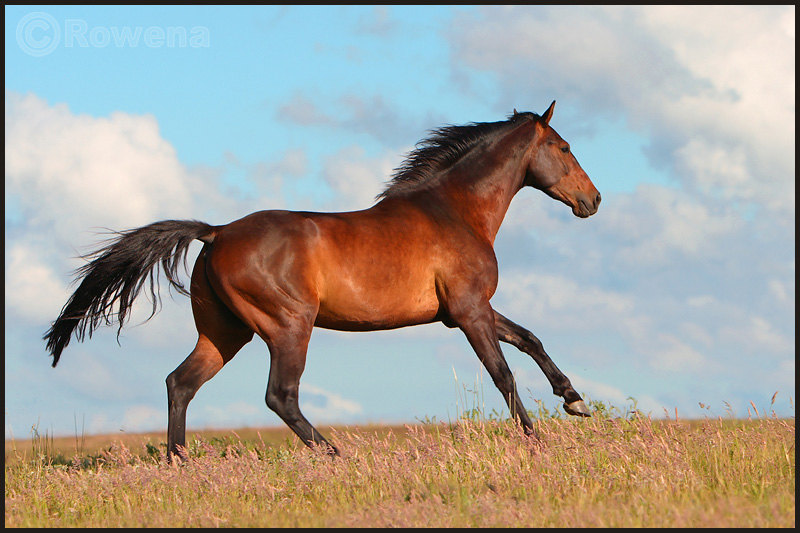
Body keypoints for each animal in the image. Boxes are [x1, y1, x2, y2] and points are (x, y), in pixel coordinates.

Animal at [43, 102, 600, 460]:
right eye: (564, 146)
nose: (592, 200)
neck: (454, 210)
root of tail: (217, 232)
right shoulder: (468, 311)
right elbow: (503, 373)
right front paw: (536, 440)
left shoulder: (467, 310)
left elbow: (530, 339)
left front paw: (573, 400)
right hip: (289, 325)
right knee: (280, 396)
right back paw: (336, 455)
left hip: (225, 332)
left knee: (180, 383)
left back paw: (180, 466)